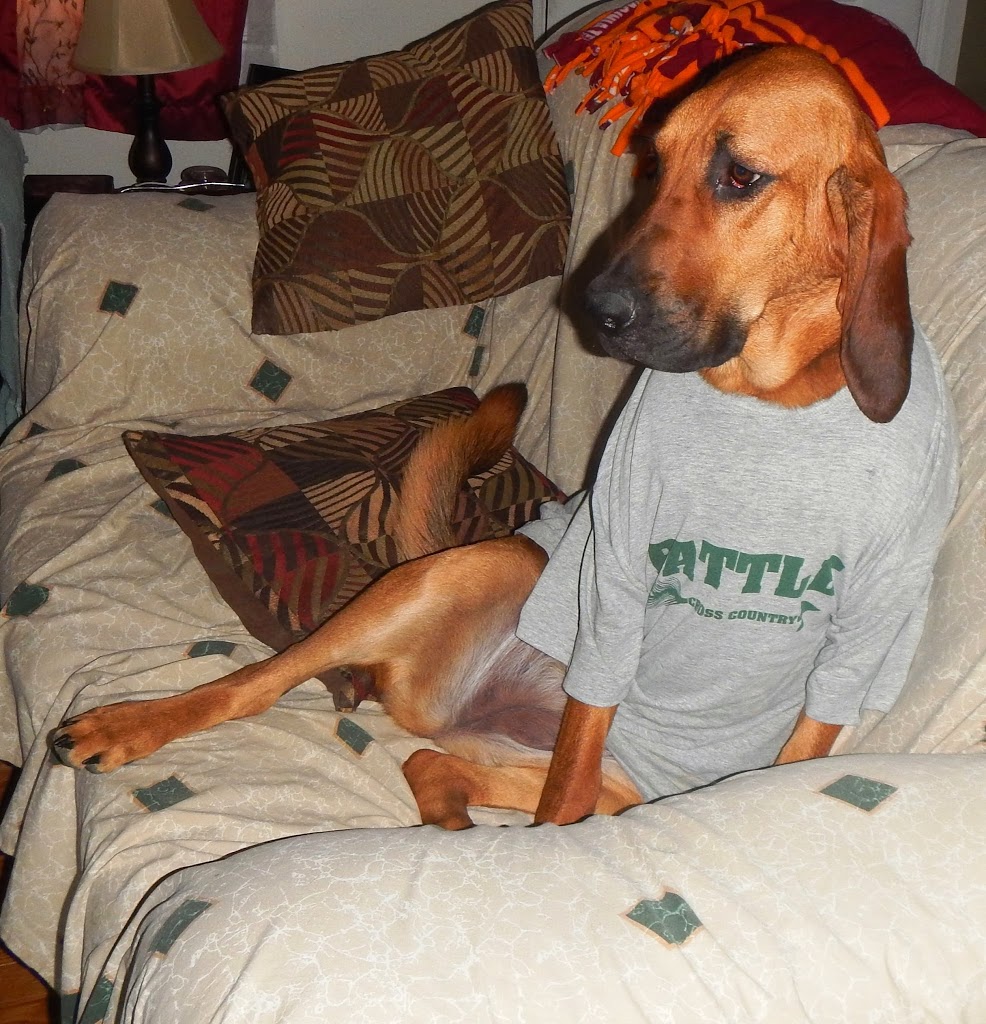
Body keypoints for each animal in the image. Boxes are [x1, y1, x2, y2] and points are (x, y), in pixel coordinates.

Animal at [50, 46, 956, 829]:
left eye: (741, 177)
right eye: (652, 166)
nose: (593, 308)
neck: (776, 403)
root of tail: (443, 700)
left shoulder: (861, 630)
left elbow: (807, 737)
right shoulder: (614, 583)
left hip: (604, 780)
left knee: (433, 767)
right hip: (474, 568)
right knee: (263, 682)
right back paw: (130, 725)